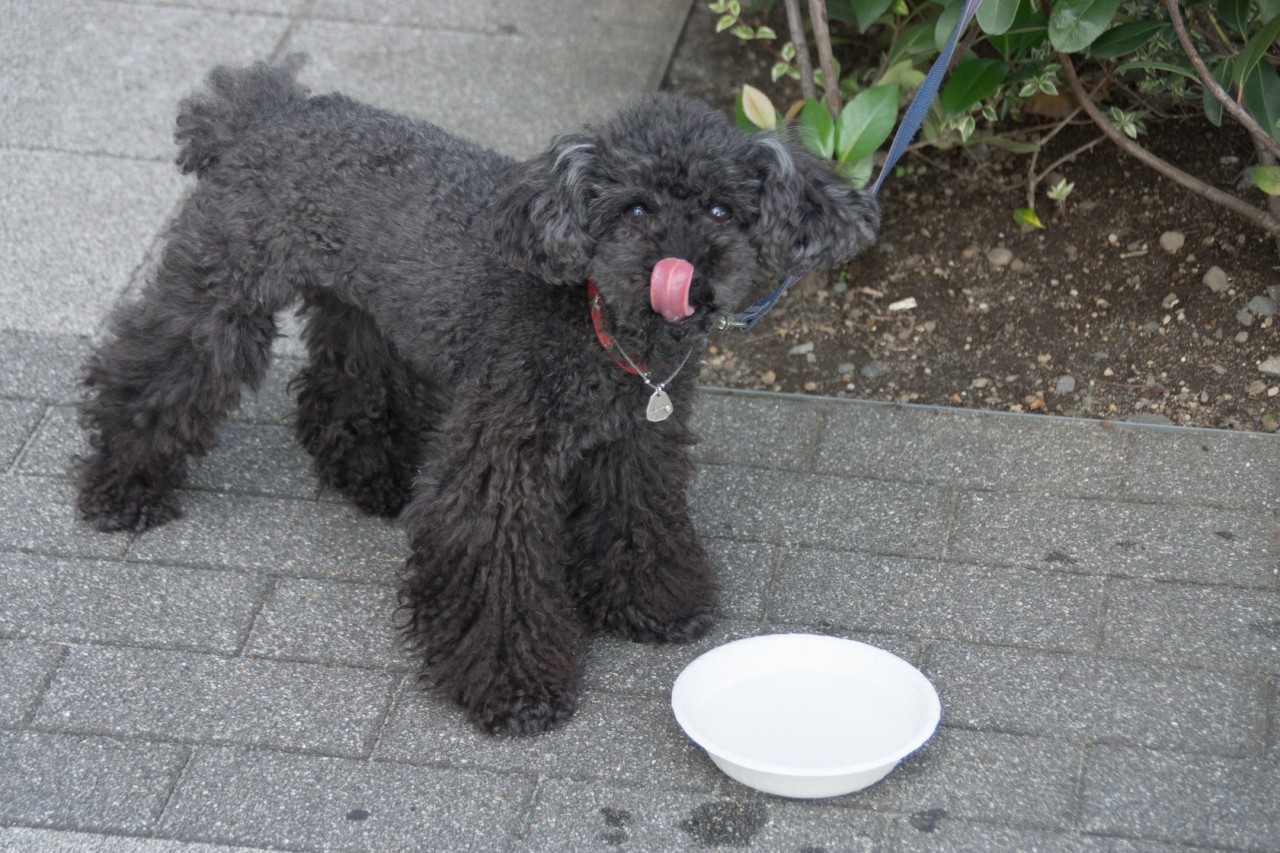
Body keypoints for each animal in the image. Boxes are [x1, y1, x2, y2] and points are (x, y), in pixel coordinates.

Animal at [75, 59, 879, 734]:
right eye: (635, 209)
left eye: (719, 211)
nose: (684, 267)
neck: (600, 324)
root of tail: (269, 109)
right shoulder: (501, 453)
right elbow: (497, 570)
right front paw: (515, 687)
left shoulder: (635, 441)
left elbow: (636, 520)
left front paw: (650, 602)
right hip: (225, 289)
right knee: (156, 370)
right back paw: (122, 486)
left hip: (366, 308)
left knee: (349, 387)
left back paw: (374, 477)